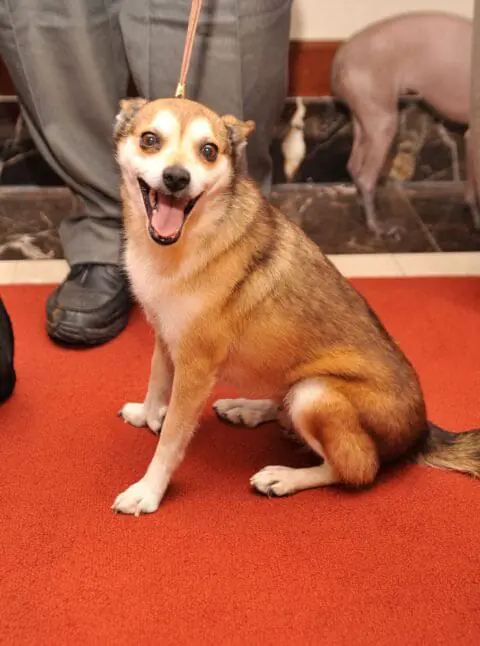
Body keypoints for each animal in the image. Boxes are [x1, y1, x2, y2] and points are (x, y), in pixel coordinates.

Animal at [111, 97, 480, 520]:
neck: (180, 244)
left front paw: (148, 491)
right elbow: (156, 382)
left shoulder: (196, 366)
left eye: (208, 151)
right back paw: (248, 408)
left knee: (357, 469)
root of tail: (421, 431)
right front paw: (147, 414)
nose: (176, 178)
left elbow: (171, 438)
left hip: (315, 393)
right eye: (150, 140)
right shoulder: (164, 335)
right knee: (284, 404)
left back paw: (284, 477)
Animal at [330, 11, 476, 235]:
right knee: (366, 177)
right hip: (384, 124)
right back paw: (376, 226)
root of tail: (342, 54)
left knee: (354, 166)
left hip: (364, 123)